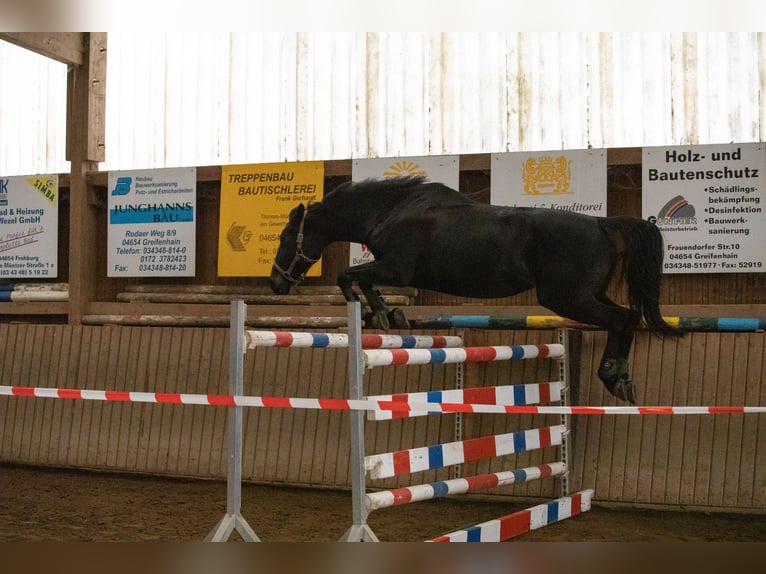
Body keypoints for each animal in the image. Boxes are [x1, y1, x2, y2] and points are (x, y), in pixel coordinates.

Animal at [270, 175, 683, 404]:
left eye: (286, 237)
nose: (276, 283)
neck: (390, 211)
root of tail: (601, 223)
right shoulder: (392, 270)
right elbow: (364, 280)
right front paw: (389, 314)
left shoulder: (396, 268)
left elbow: (349, 277)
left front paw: (378, 313)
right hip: (585, 295)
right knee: (626, 317)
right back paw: (620, 378)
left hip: (568, 298)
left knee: (623, 318)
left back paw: (614, 375)